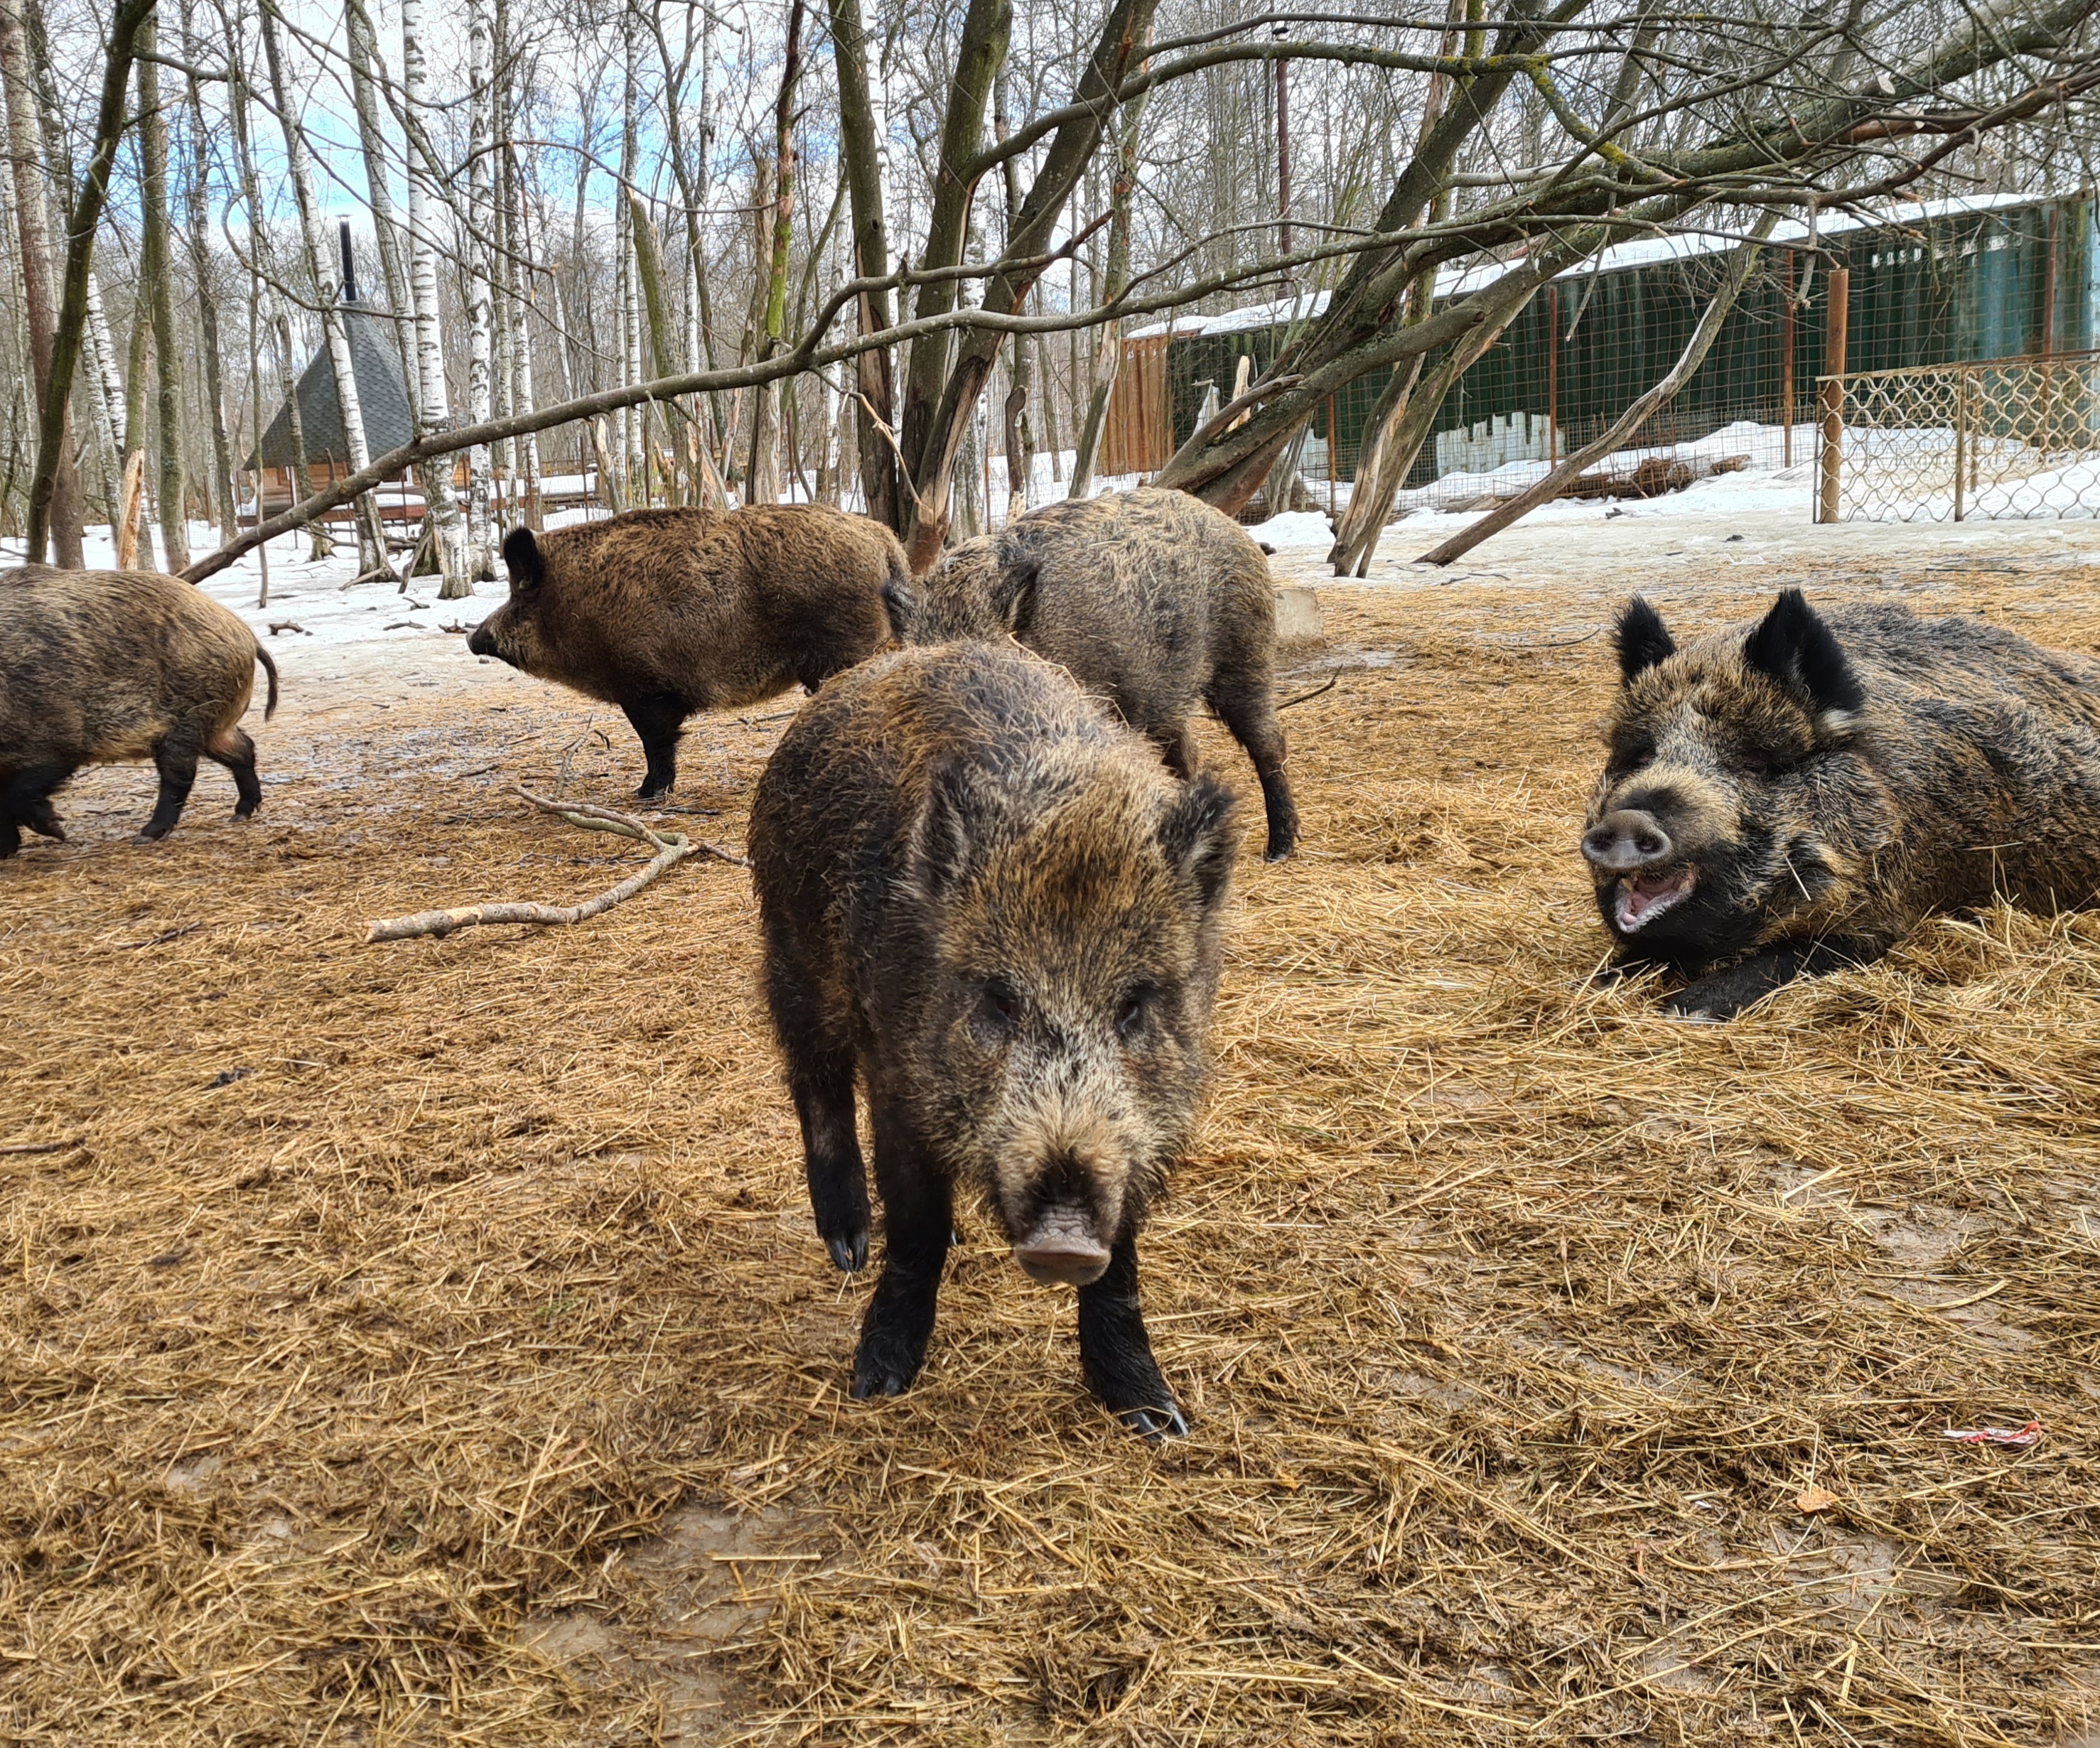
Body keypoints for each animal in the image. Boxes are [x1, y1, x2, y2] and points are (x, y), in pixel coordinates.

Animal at [0, 565, 278, 856]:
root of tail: (246, 635)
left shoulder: (56, 740)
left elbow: (18, 793)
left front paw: (57, 830)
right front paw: (7, 851)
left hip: (189, 718)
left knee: (180, 775)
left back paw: (146, 836)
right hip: (213, 723)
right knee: (242, 747)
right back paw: (241, 814)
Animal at [467, 505, 906, 798]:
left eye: (518, 596)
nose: (472, 639)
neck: (573, 607)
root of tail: (885, 541)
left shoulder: (646, 688)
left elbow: (656, 742)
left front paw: (645, 794)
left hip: (842, 653)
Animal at [747, 640, 1239, 1436]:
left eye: (1133, 1004)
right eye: (998, 1000)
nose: (1064, 1242)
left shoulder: (1144, 1128)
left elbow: (1123, 1259)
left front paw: (1158, 1419)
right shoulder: (900, 1076)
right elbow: (915, 1227)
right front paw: (876, 1384)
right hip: (792, 952)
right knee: (812, 1079)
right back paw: (848, 1247)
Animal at [884, 486, 1299, 859]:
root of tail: (1237, 529)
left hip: (1246, 653)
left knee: (1269, 742)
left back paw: (1279, 850)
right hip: (1167, 694)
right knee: (1186, 755)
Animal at [1582, 587, 2100, 1019]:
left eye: (1755, 761)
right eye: (1641, 755)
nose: (1629, 817)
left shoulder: (1890, 913)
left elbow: (1799, 954)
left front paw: (1682, 1010)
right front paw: (1590, 985)